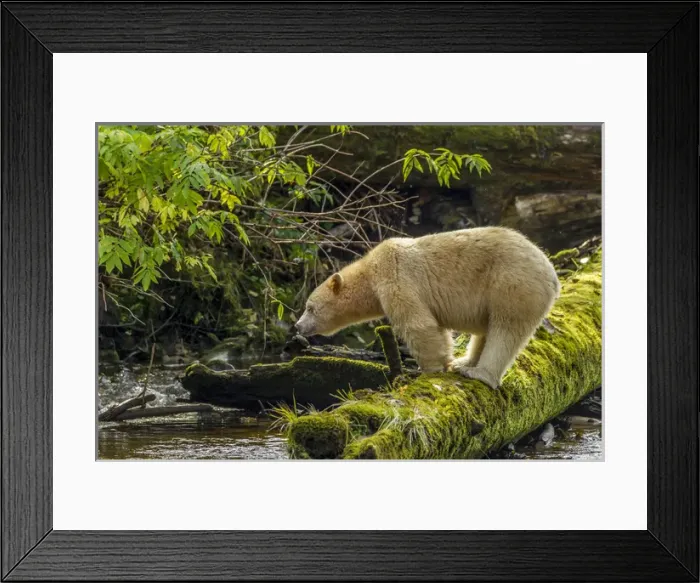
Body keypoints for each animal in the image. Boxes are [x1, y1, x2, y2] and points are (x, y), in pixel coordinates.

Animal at [294, 226, 561, 390]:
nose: (297, 326)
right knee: (487, 329)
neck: (370, 271)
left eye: (310, 308)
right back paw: (464, 363)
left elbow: (418, 324)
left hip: (512, 283)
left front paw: (430, 370)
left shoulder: (396, 275)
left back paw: (480, 373)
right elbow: (436, 327)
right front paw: (445, 363)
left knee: (506, 329)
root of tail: (552, 274)